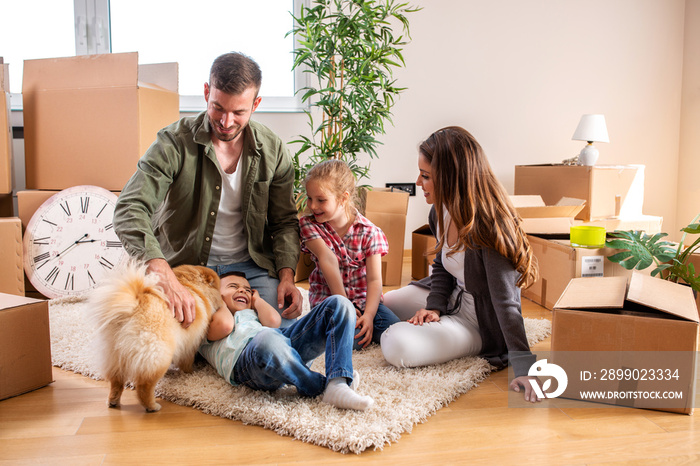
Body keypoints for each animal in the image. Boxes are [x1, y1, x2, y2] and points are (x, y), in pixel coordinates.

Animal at [89, 262, 223, 412]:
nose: (223, 300)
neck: (193, 287)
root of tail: (132, 308)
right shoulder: (190, 344)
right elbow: (187, 361)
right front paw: (191, 372)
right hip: (158, 355)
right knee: (143, 386)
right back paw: (152, 406)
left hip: (114, 355)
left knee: (116, 381)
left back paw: (113, 401)